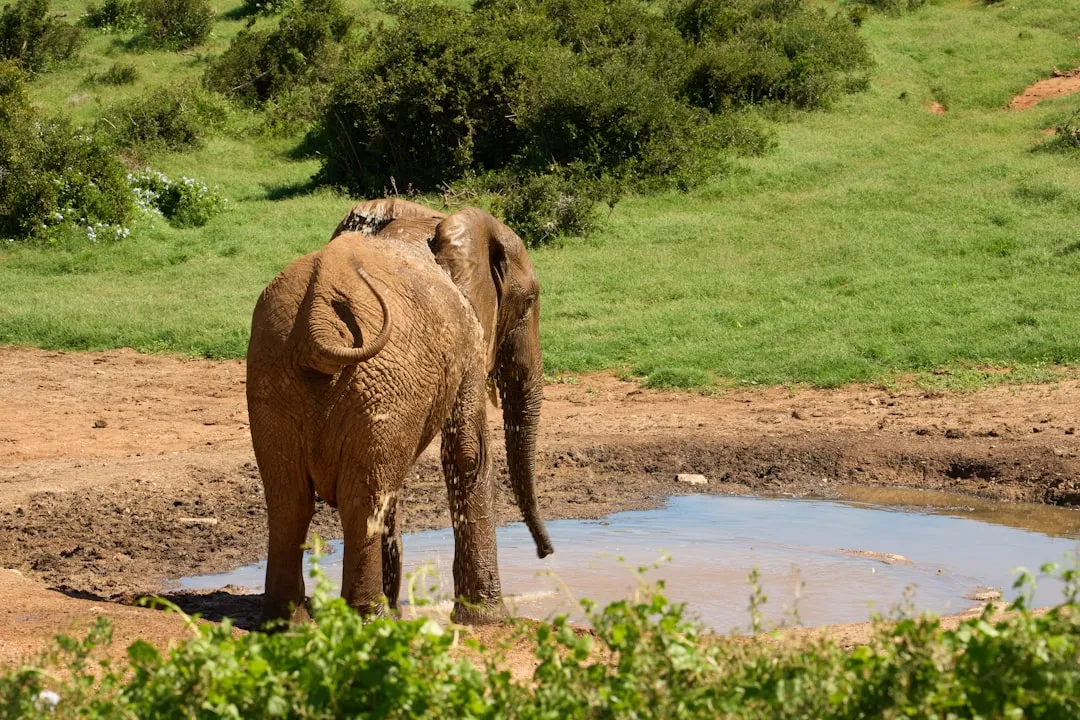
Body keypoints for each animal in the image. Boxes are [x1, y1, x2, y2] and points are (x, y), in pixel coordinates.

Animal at [246, 198, 554, 626]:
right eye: (528, 303)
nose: (546, 553)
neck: (428, 221)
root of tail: (318, 317)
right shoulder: (467, 337)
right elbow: (468, 453)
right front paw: (488, 619)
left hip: (277, 376)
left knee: (290, 499)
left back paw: (288, 622)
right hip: (370, 382)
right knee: (363, 500)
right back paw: (369, 620)